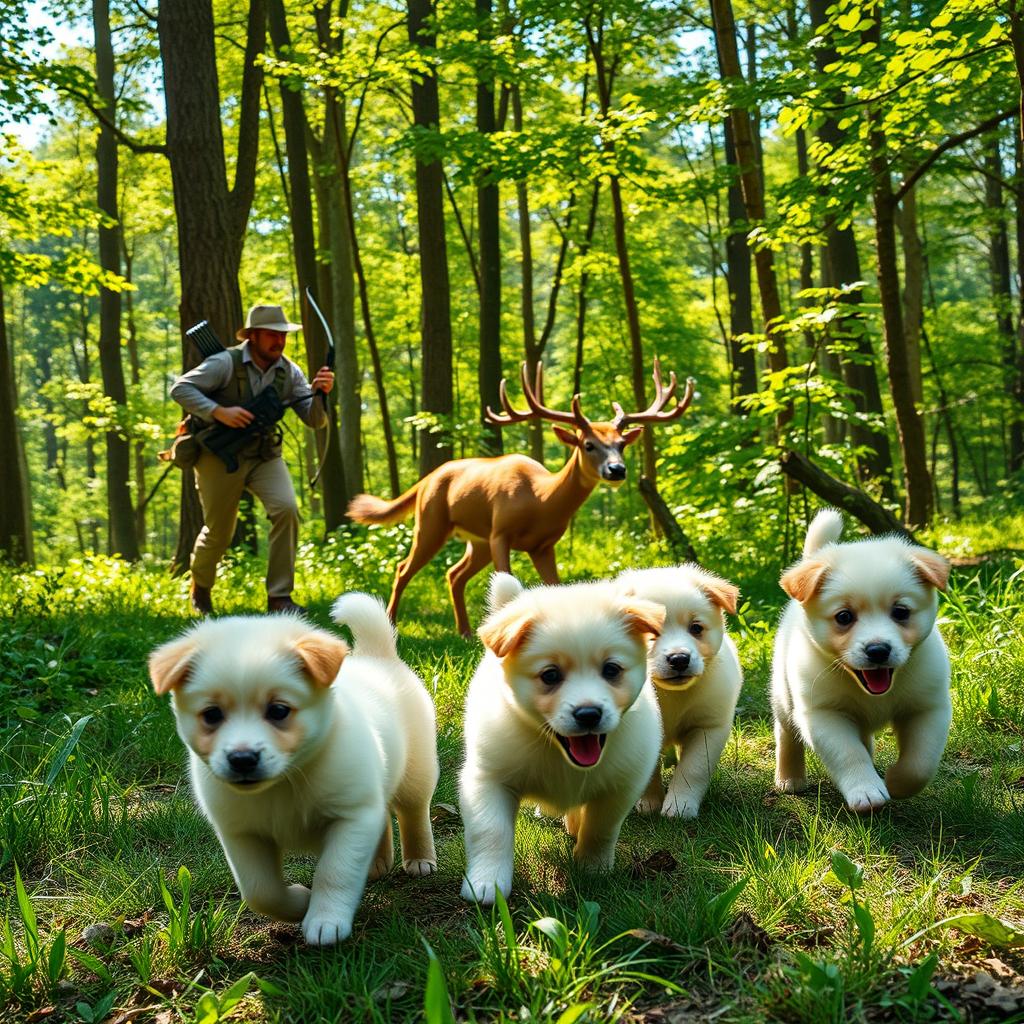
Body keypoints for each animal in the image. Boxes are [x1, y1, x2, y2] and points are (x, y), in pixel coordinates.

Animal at [346, 360, 695, 637]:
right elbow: (508, 582)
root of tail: (427, 479)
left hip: (477, 543)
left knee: (454, 574)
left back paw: (464, 631)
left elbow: (555, 585)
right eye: (588, 444)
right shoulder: (500, 532)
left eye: (621, 443)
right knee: (403, 568)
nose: (617, 470)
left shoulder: (543, 546)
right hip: (432, 521)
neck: (540, 501)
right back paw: (392, 623)